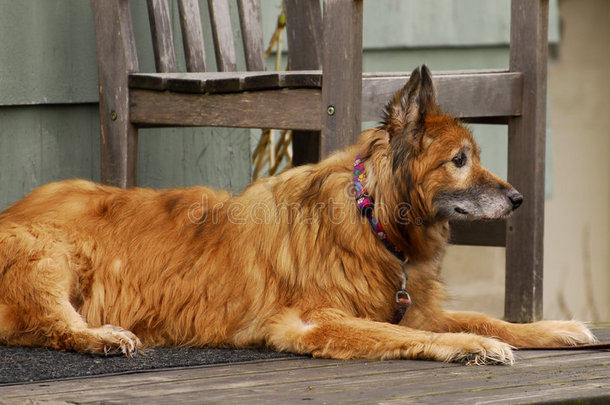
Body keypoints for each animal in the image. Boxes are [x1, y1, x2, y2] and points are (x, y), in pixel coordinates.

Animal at [0, 65, 592, 362]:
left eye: (476, 156)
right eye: (460, 161)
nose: (519, 200)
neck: (370, 218)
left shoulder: (411, 307)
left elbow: (487, 316)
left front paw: (553, 328)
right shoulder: (316, 319)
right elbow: (417, 335)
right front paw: (475, 346)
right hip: (47, 256)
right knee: (55, 325)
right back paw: (100, 337)